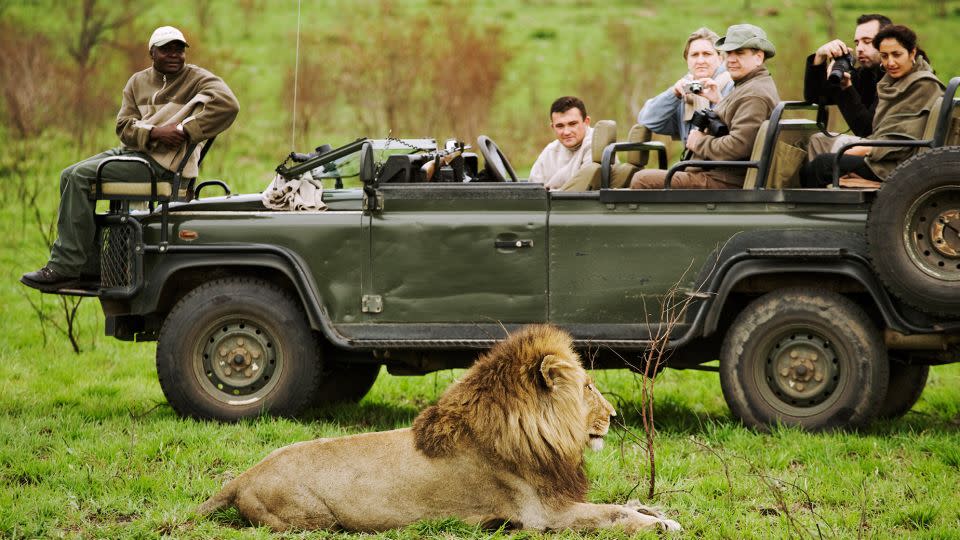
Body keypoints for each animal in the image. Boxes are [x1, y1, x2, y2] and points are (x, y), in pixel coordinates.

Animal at [195, 324, 680, 532]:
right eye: (589, 388)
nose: (613, 416)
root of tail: (242, 477)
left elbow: (623, 501)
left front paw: (657, 512)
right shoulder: (544, 516)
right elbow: (611, 513)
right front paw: (658, 524)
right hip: (312, 518)